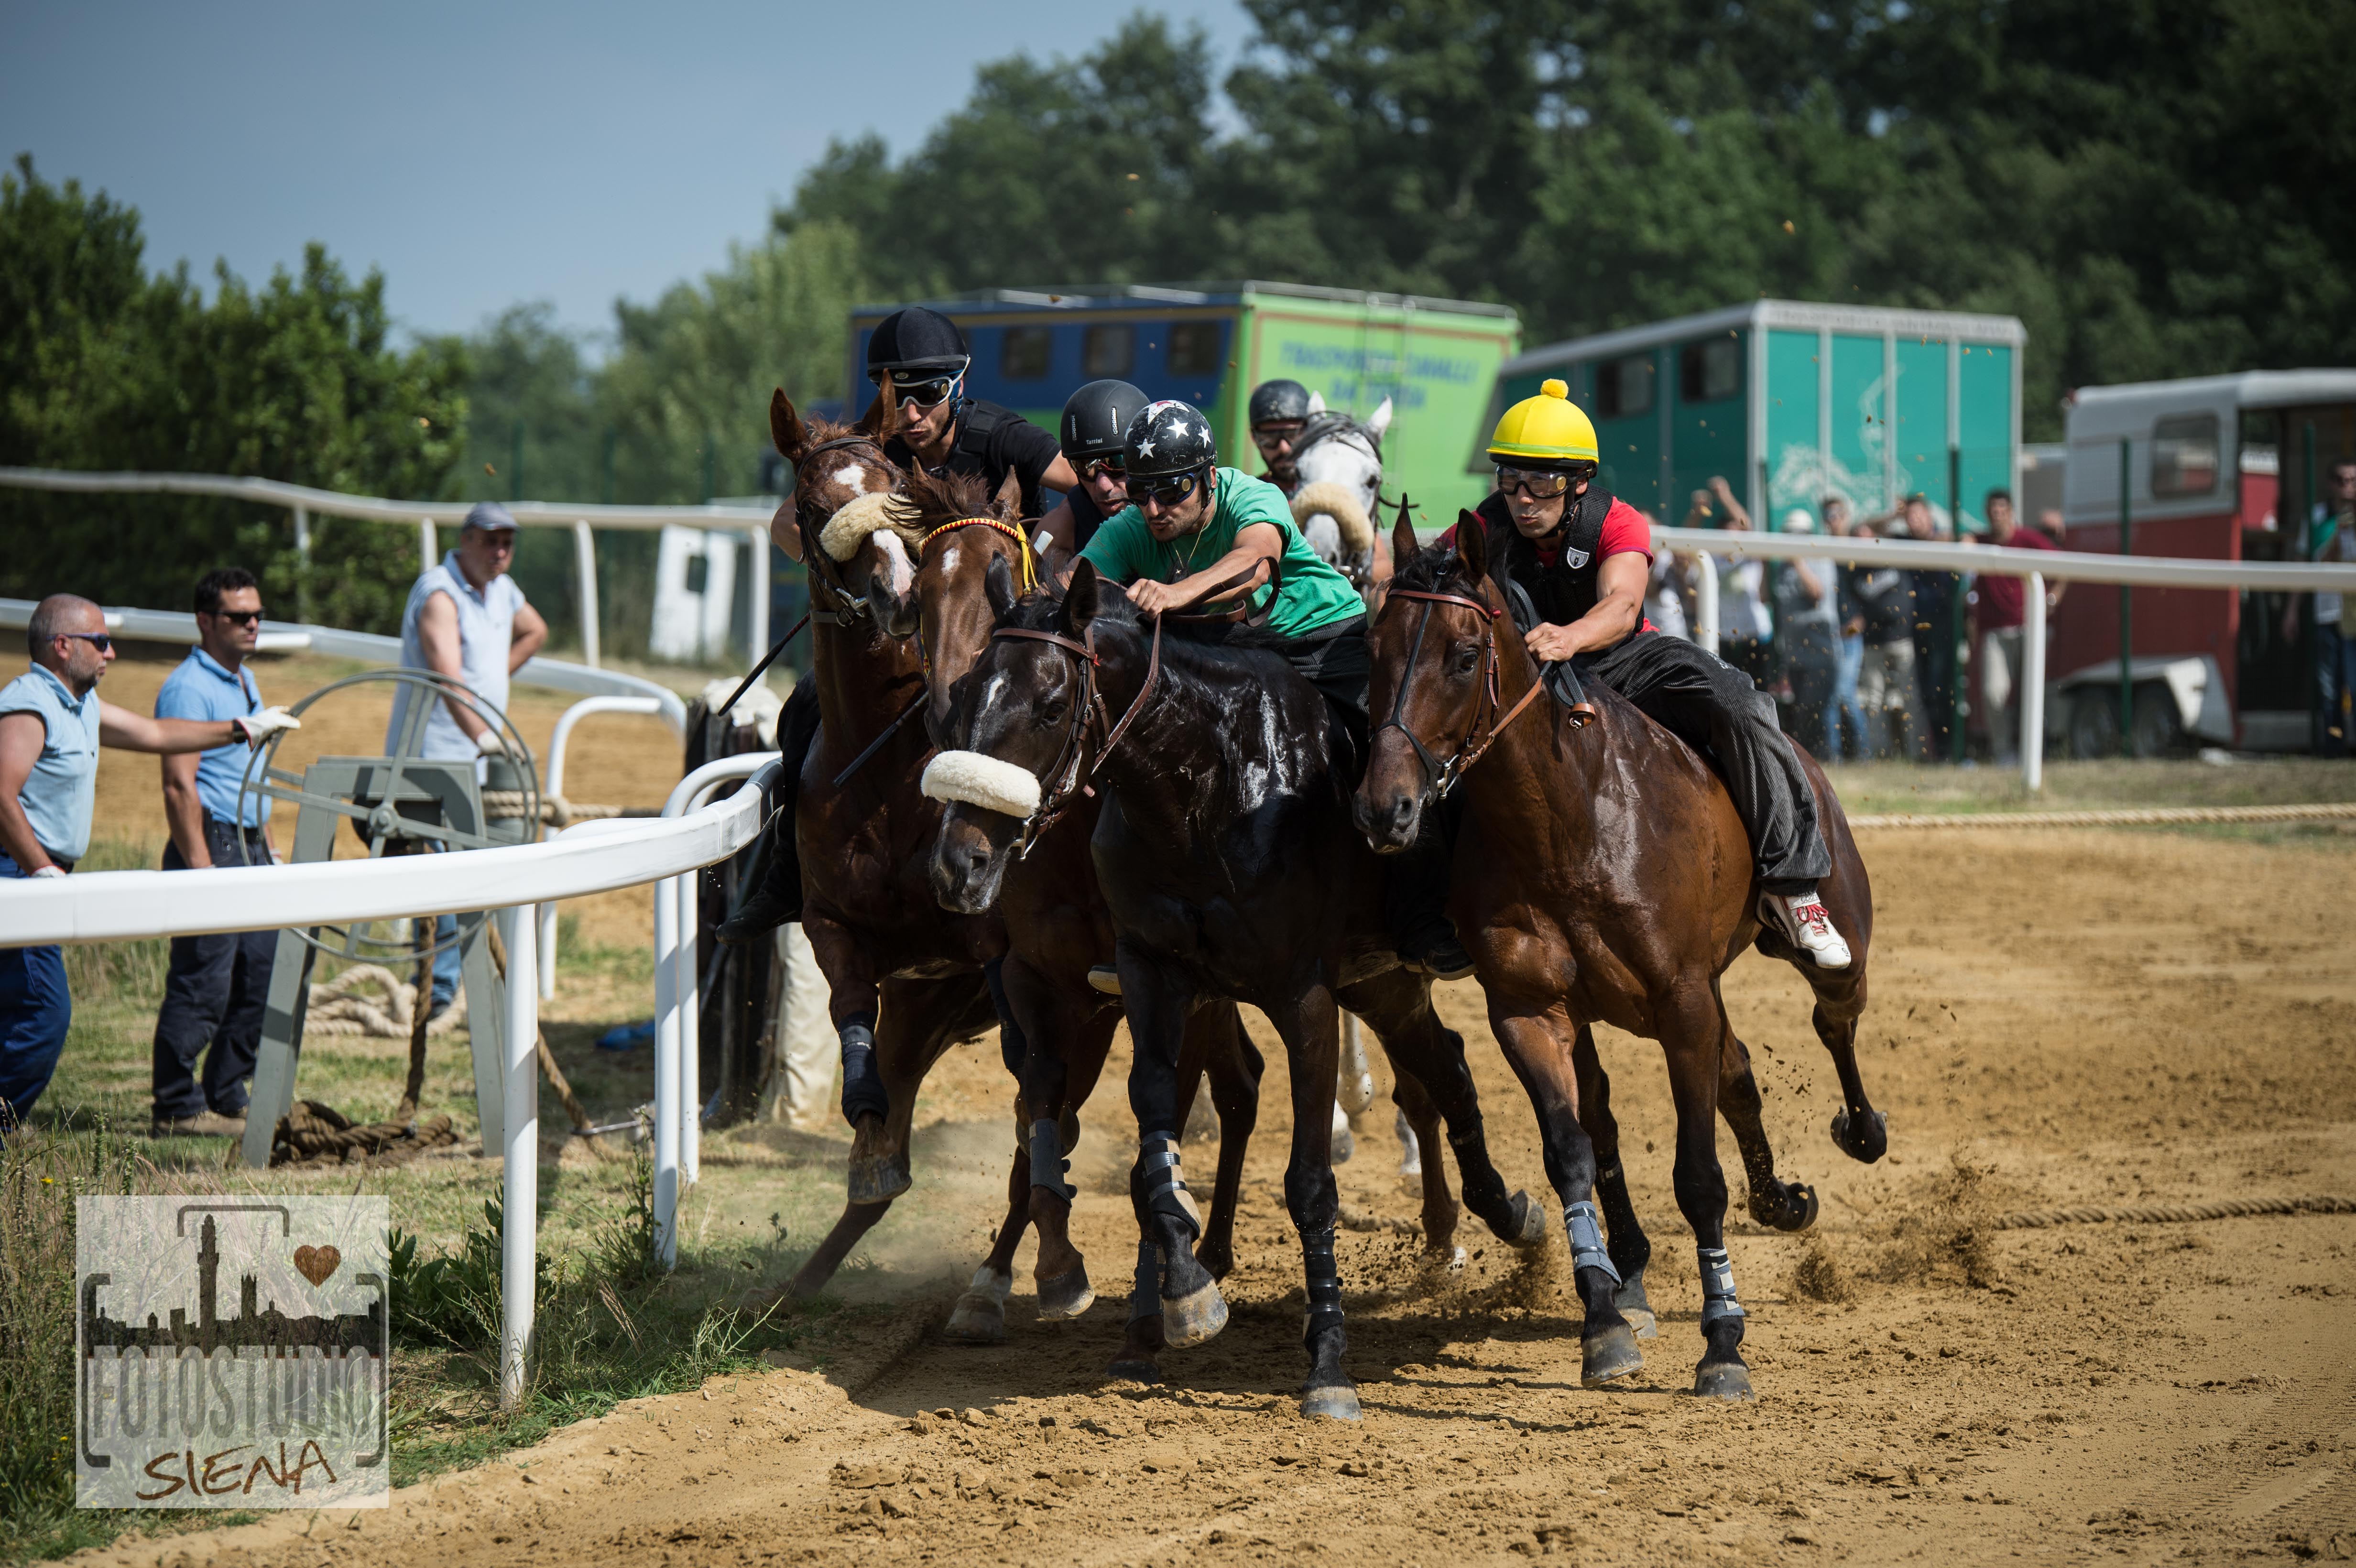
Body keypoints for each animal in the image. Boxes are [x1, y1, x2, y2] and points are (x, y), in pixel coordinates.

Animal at [928, 558, 1555, 1412]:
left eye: (1053, 705)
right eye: (965, 695)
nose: (960, 863)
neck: (1203, 789)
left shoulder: (1303, 997)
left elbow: (1310, 1184)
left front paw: (1327, 1366)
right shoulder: (1153, 978)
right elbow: (1146, 1137)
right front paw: (1180, 1298)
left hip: (1375, 976)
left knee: (1439, 1073)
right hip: (1376, 982)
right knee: (1447, 1067)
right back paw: (1508, 1219)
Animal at [1357, 511, 1885, 1394]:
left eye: (1462, 656)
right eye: (1375, 645)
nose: (1383, 808)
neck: (1567, 821)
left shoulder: (1682, 1002)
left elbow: (1697, 1178)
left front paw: (1722, 1341)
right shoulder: (1531, 1012)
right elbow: (1571, 1151)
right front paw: (1603, 1321)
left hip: (1830, 928)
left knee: (1834, 1015)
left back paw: (1860, 1127)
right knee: (1720, 1080)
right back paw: (1760, 1208)